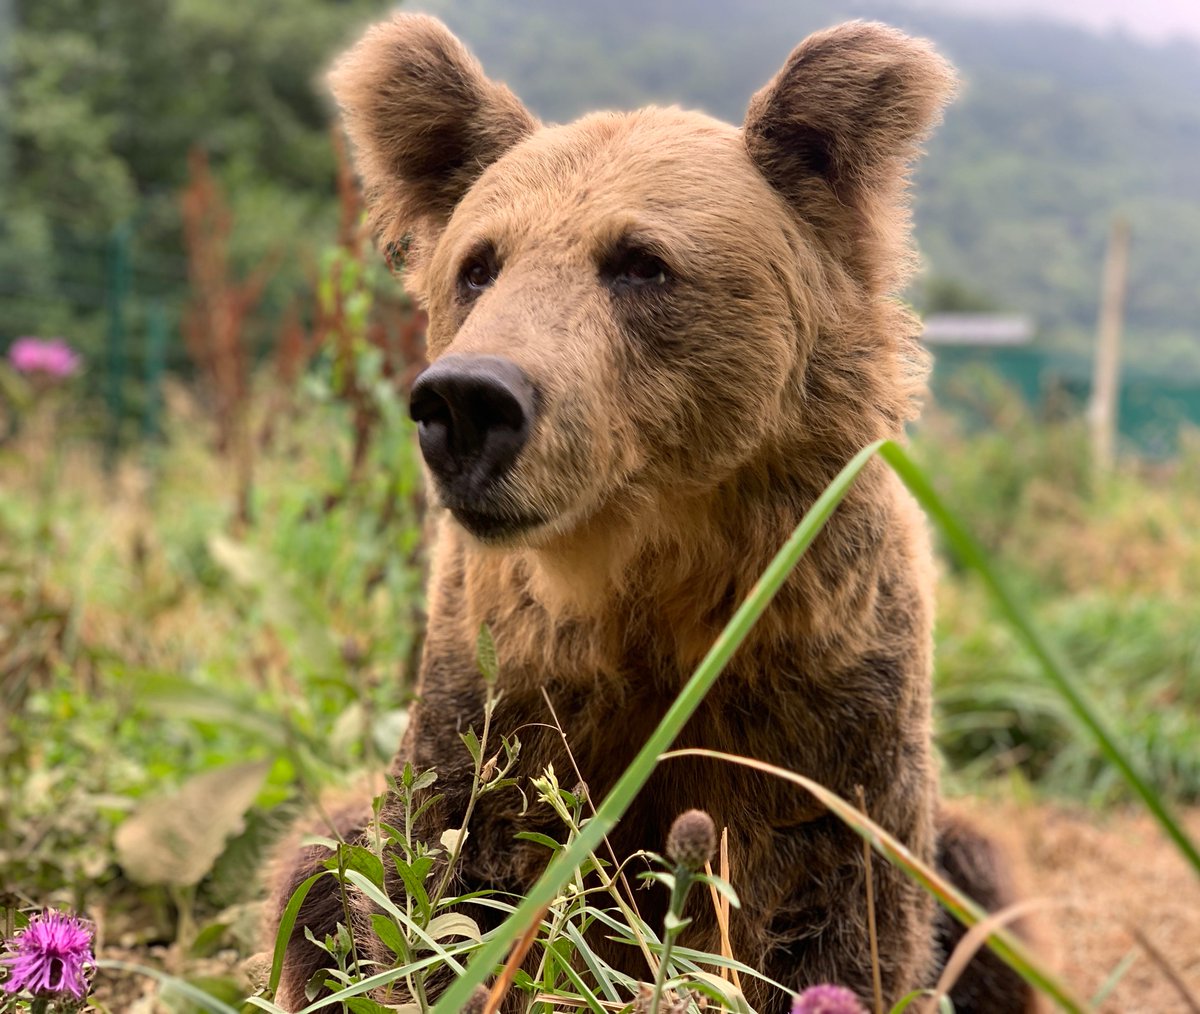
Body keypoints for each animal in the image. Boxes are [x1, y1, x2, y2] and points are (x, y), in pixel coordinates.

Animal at [268, 14, 1036, 1013]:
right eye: (478, 265)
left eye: (640, 262)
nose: (468, 400)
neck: (643, 582)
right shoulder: (496, 689)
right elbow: (422, 892)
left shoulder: (833, 702)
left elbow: (851, 921)